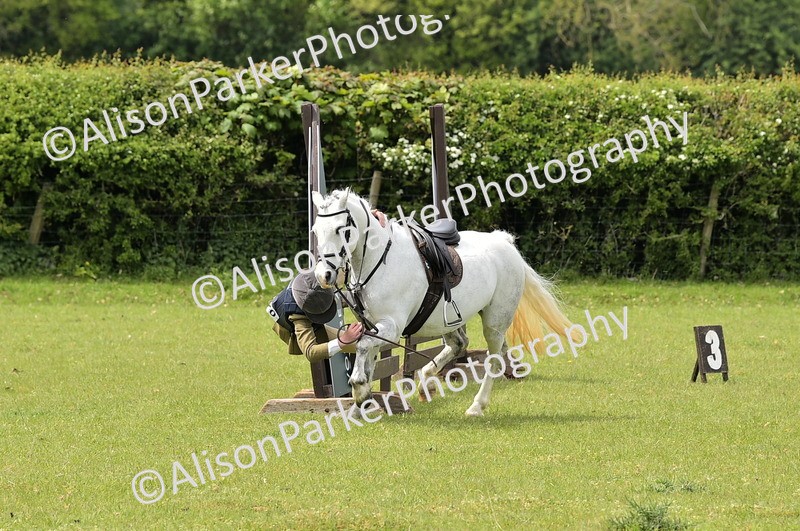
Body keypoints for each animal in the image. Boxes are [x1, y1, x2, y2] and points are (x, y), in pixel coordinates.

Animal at [311, 188, 576, 416]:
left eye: (340, 229)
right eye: (315, 230)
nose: (324, 275)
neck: (378, 260)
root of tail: (506, 243)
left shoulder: (391, 327)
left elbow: (364, 350)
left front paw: (359, 392)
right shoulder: (373, 325)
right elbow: (368, 359)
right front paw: (360, 407)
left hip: (494, 322)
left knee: (494, 358)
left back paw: (476, 406)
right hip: (448, 320)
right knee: (460, 344)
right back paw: (425, 384)